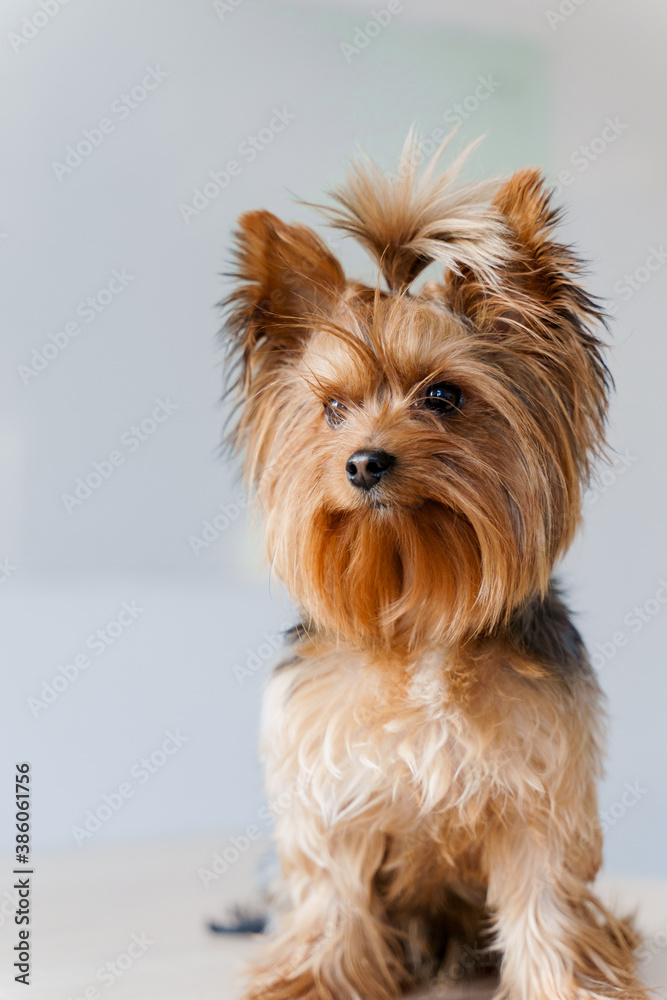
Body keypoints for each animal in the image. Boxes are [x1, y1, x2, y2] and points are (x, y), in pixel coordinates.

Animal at [222, 133, 648, 1000]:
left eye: (444, 397)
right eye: (332, 408)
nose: (363, 462)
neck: (416, 605)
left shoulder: (538, 787)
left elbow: (544, 897)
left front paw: (563, 983)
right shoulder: (330, 790)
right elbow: (332, 890)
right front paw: (311, 978)